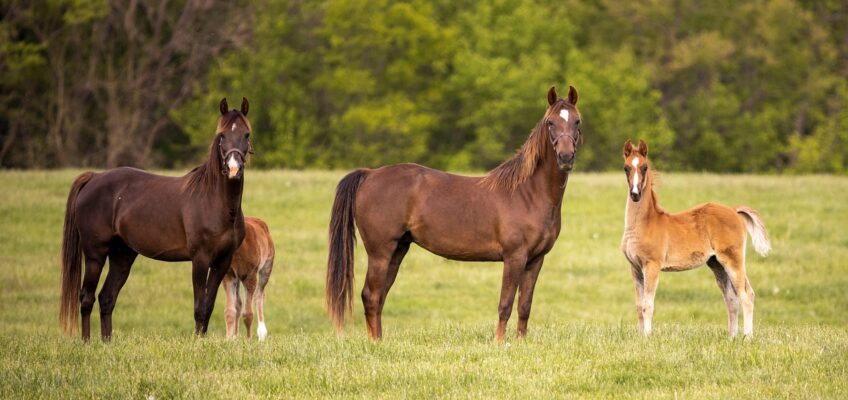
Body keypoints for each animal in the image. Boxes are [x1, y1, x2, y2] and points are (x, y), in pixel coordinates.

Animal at [59, 98, 253, 342]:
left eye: (246, 134)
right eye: (222, 136)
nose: (234, 169)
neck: (214, 201)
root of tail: (94, 178)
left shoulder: (223, 261)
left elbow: (208, 306)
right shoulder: (200, 259)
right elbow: (199, 306)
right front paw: (198, 343)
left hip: (122, 255)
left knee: (106, 298)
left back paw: (107, 342)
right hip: (95, 254)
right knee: (87, 297)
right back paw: (87, 343)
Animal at [326, 86, 583, 341]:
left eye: (577, 121)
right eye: (550, 122)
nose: (565, 157)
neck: (527, 193)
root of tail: (369, 174)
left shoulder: (535, 260)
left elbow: (524, 306)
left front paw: (520, 342)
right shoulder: (514, 257)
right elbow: (506, 304)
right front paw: (499, 343)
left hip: (397, 250)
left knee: (379, 297)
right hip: (380, 252)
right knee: (371, 295)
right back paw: (376, 344)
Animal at [620, 139, 771, 338]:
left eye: (644, 167)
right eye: (626, 168)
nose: (635, 194)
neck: (645, 223)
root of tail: (733, 210)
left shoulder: (652, 265)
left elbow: (647, 305)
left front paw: (647, 337)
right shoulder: (635, 267)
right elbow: (638, 306)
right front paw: (640, 337)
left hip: (733, 260)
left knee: (746, 294)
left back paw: (747, 338)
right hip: (717, 263)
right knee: (731, 298)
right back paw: (731, 338)